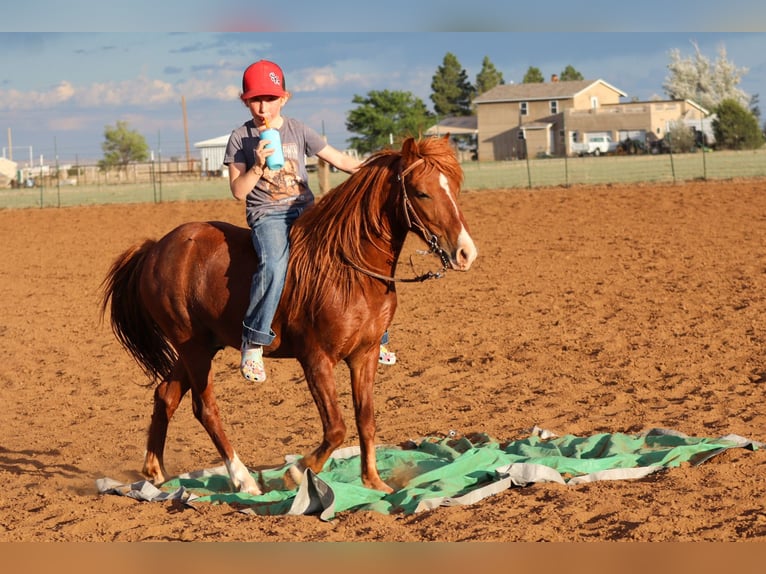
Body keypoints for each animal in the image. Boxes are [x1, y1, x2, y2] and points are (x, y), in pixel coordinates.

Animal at [101, 136, 477, 495]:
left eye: (455, 189)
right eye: (421, 192)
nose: (465, 253)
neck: (348, 269)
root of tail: (156, 248)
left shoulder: (364, 355)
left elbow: (365, 419)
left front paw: (373, 482)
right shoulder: (316, 359)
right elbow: (336, 427)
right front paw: (295, 473)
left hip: (199, 347)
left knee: (165, 394)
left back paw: (155, 472)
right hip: (192, 347)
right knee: (204, 409)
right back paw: (244, 480)